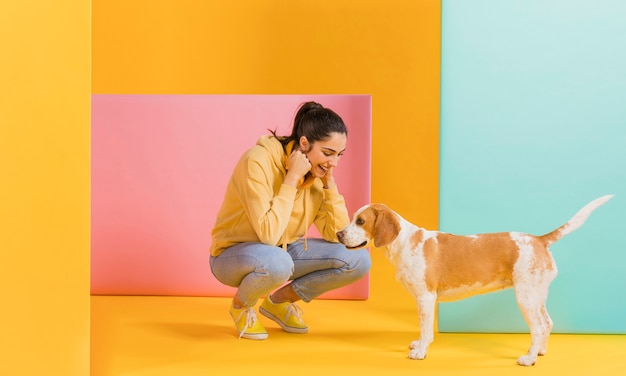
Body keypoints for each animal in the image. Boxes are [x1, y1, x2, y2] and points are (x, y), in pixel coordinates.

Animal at [336, 195, 608, 366]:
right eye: (352, 218)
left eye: (361, 221)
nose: (338, 234)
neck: (403, 243)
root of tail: (539, 239)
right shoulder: (424, 300)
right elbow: (423, 329)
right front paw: (418, 345)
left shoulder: (426, 298)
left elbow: (426, 329)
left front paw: (421, 351)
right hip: (537, 296)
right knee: (548, 324)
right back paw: (539, 351)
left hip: (526, 298)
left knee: (539, 327)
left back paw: (529, 358)